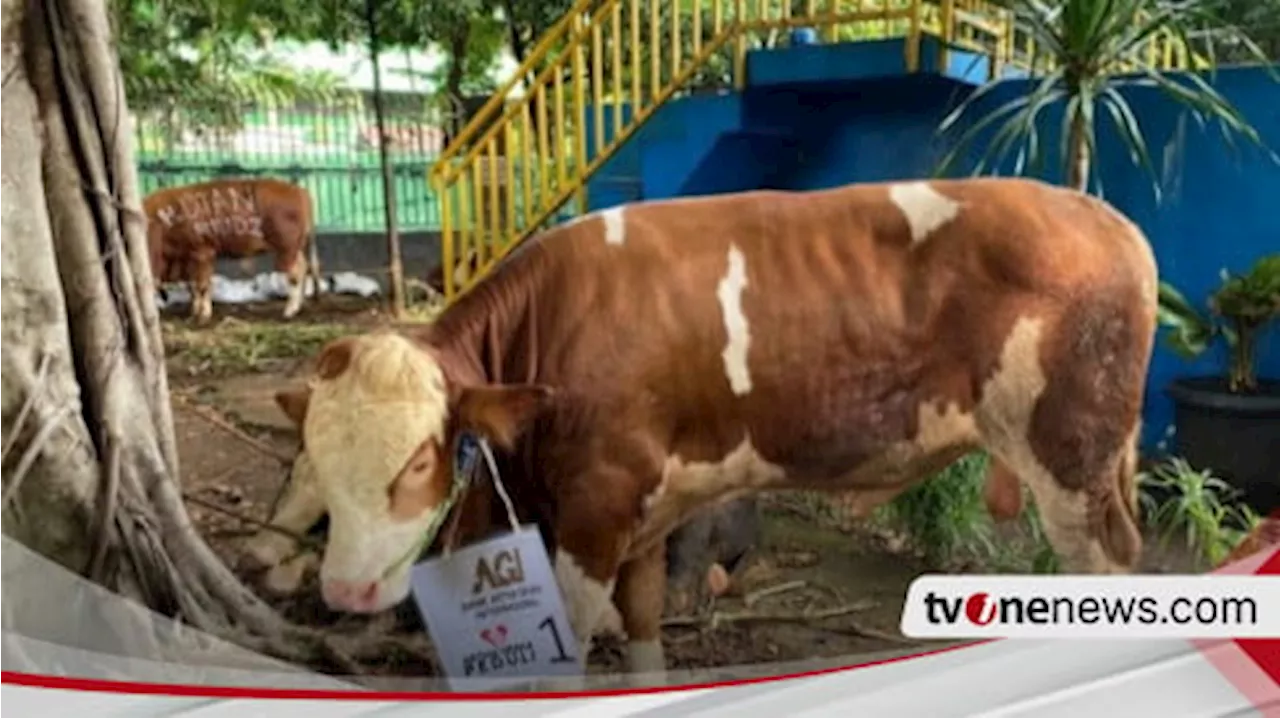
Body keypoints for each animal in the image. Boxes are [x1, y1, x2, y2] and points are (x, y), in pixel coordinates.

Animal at [145, 176, 322, 322]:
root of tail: (302, 192)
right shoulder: (190, 258)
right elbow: (194, 285)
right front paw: (194, 312)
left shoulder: (203, 251)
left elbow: (202, 285)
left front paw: (203, 317)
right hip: (295, 246)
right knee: (304, 266)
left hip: (286, 246)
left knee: (296, 273)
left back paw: (289, 312)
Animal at [244, 176, 1157, 680]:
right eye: (309, 459)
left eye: (422, 457)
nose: (345, 591)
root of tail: (1104, 216)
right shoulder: (651, 510)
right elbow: (644, 626)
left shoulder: (596, 506)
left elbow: (574, 641)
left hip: (1072, 463)